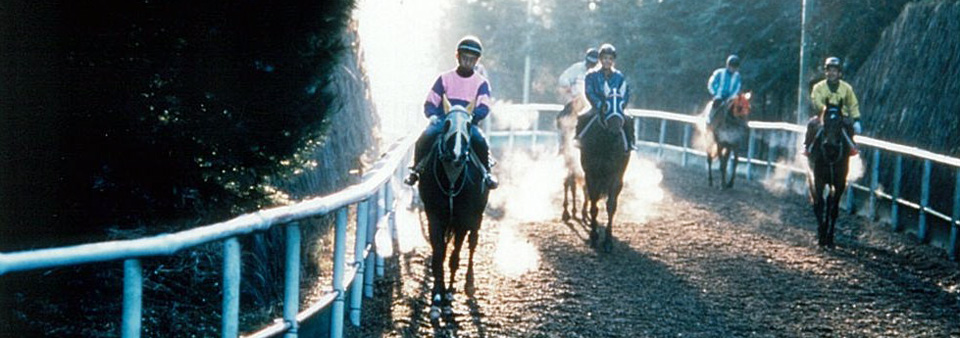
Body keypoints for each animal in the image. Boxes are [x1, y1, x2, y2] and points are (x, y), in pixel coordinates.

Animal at [416, 97, 488, 320]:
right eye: (446, 124)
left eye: (469, 125)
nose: (456, 154)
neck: (452, 181)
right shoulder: (435, 217)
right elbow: (439, 256)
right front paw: (436, 299)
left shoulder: (463, 219)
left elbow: (455, 258)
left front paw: (447, 297)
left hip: (477, 217)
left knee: (472, 244)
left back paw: (469, 284)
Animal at [808, 104, 852, 247]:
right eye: (825, 122)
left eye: (840, 123)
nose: (830, 145)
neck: (831, 156)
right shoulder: (818, 180)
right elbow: (820, 204)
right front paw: (822, 237)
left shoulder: (840, 182)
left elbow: (833, 209)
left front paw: (830, 238)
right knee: (817, 203)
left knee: (829, 201)